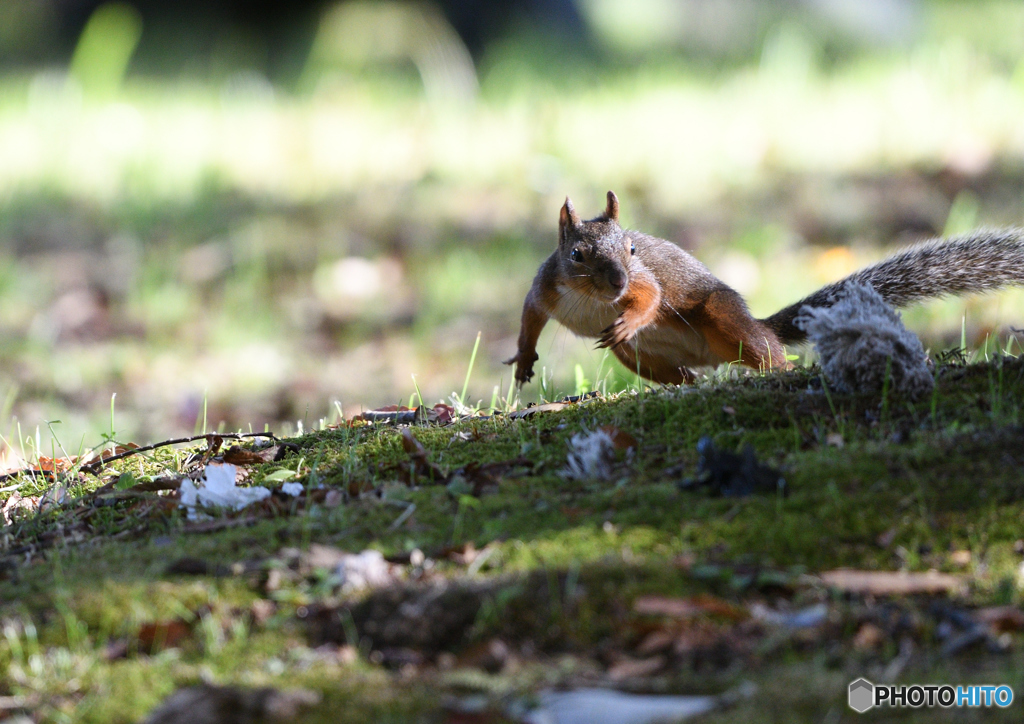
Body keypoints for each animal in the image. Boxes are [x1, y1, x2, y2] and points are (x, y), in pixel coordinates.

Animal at [503, 189, 1024, 387]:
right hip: (638, 359)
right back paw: (687, 383)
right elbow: (529, 317)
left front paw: (630, 315)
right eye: (576, 255)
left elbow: (652, 296)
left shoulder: (645, 280)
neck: (593, 300)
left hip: (724, 318)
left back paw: (779, 369)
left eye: (632, 249)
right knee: (679, 375)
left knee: (769, 351)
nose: (618, 281)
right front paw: (525, 359)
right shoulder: (545, 288)